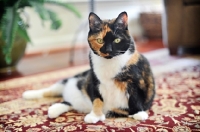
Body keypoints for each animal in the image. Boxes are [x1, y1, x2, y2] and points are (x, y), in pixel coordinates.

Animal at [22, 11, 155, 124]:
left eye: (117, 40)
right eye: (100, 40)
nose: (108, 50)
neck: (110, 62)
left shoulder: (136, 80)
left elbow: (135, 96)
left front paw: (139, 113)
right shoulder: (94, 79)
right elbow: (97, 97)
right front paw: (95, 115)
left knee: (66, 101)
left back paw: (53, 109)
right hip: (74, 79)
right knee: (50, 90)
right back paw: (28, 94)